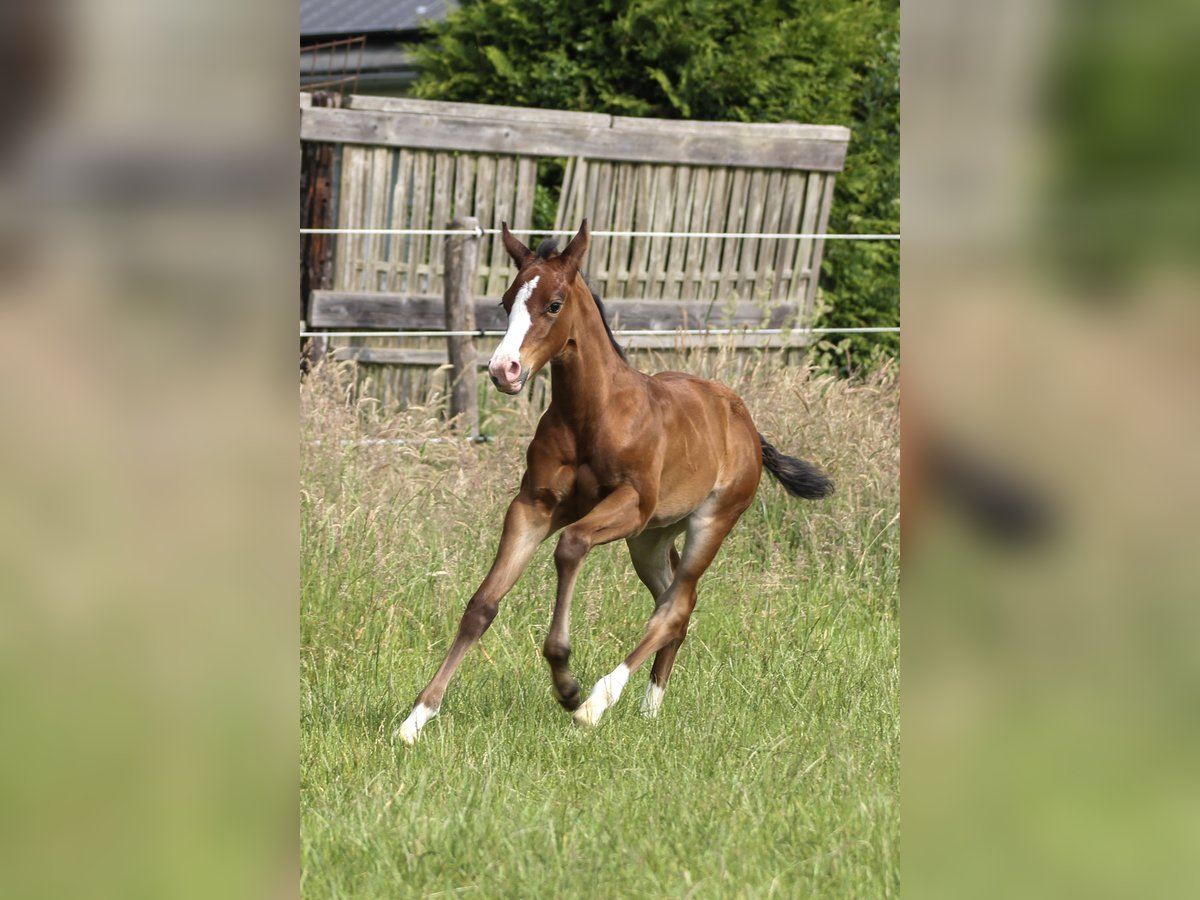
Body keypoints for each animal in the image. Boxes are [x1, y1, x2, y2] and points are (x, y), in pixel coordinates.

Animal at [397, 220, 833, 744]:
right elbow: (482, 605)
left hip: (710, 520)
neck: (592, 414)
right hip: (651, 539)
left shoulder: (631, 504)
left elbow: (571, 545)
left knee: (674, 607)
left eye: (554, 304)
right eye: (505, 302)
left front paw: (567, 685)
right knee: (675, 602)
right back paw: (650, 707)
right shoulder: (533, 506)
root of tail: (745, 422)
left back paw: (596, 703)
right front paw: (416, 718)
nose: (504, 370)